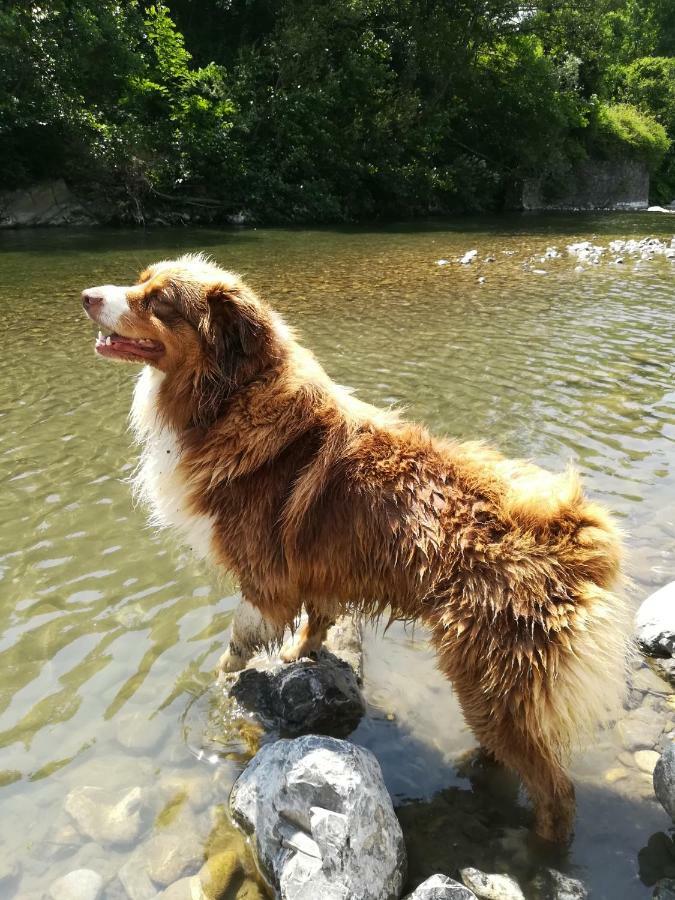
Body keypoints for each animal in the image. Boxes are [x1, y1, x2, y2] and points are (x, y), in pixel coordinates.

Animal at [83, 253, 628, 844]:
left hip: (490, 684)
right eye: (139, 282)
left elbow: (237, 641)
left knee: (555, 788)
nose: (87, 295)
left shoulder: (262, 580)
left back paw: (541, 845)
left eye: (158, 301)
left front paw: (226, 676)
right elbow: (315, 620)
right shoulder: (313, 569)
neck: (231, 397)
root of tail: (573, 537)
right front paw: (299, 655)